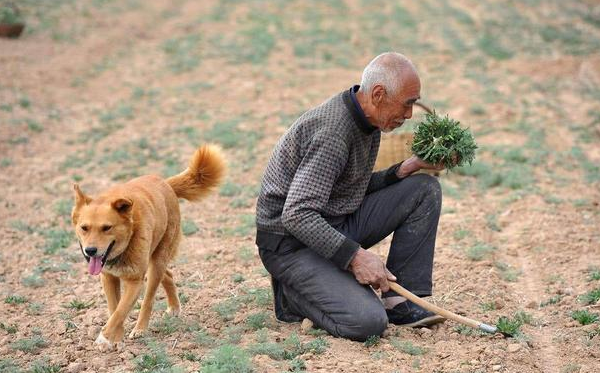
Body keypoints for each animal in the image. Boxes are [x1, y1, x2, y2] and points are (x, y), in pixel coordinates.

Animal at [71, 143, 225, 348]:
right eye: (84, 228)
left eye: (107, 228)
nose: (90, 251)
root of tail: (165, 183)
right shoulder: (108, 278)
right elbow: (114, 309)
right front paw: (116, 338)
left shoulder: (135, 281)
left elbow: (120, 311)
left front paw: (105, 338)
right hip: (155, 261)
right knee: (169, 274)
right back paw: (174, 307)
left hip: (157, 261)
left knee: (149, 299)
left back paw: (141, 329)